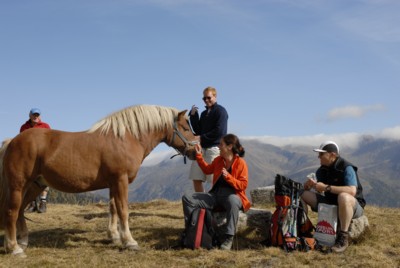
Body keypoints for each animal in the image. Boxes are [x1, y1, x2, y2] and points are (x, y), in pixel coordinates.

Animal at [0, 104, 198, 255]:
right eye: (185, 128)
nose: (196, 150)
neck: (125, 138)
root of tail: (12, 141)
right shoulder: (120, 180)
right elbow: (123, 210)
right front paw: (129, 241)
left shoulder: (112, 183)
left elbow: (113, 209)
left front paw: (114, 237)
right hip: (18, 185)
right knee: (11, 211)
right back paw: (14, 248)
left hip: (36, 185)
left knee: (20, 210)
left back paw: (23, 240)